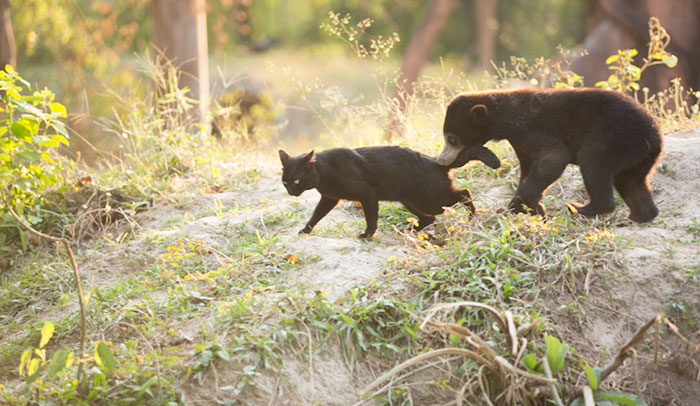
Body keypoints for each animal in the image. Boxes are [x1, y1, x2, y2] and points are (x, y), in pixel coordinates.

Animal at [276, 144, 500, 238]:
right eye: (285, 182)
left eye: (296, 180)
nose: (291, 192)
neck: (324, 171)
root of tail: (436, 162)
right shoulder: (329, 199)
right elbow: (316, 216)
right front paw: (305, 230)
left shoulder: (367, 194)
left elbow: (371, 218)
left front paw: (368, 234)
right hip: (412, 201)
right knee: (431, 218)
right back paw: (408, 230)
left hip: (432, 198)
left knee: (465, 192)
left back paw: (472, 216)